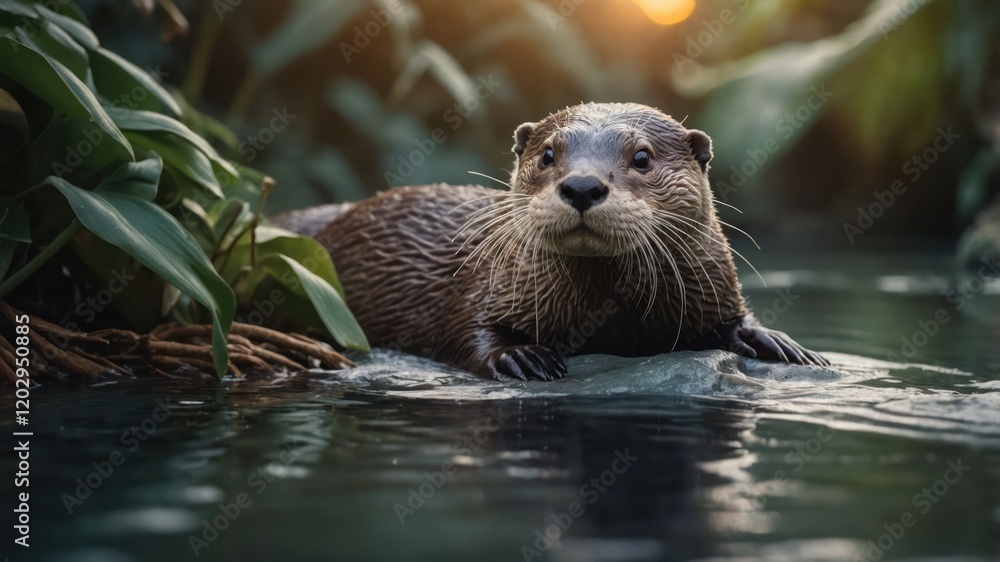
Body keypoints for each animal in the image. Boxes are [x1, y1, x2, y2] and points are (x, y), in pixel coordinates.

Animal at [276, 103, 828, 380]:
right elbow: (460, 328)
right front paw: (520, 356)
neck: (608, 315)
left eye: (642, 157)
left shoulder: (712, 282)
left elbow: (733, 320)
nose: (582, 185)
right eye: (546, 154)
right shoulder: (489, 282)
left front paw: (778, 343)